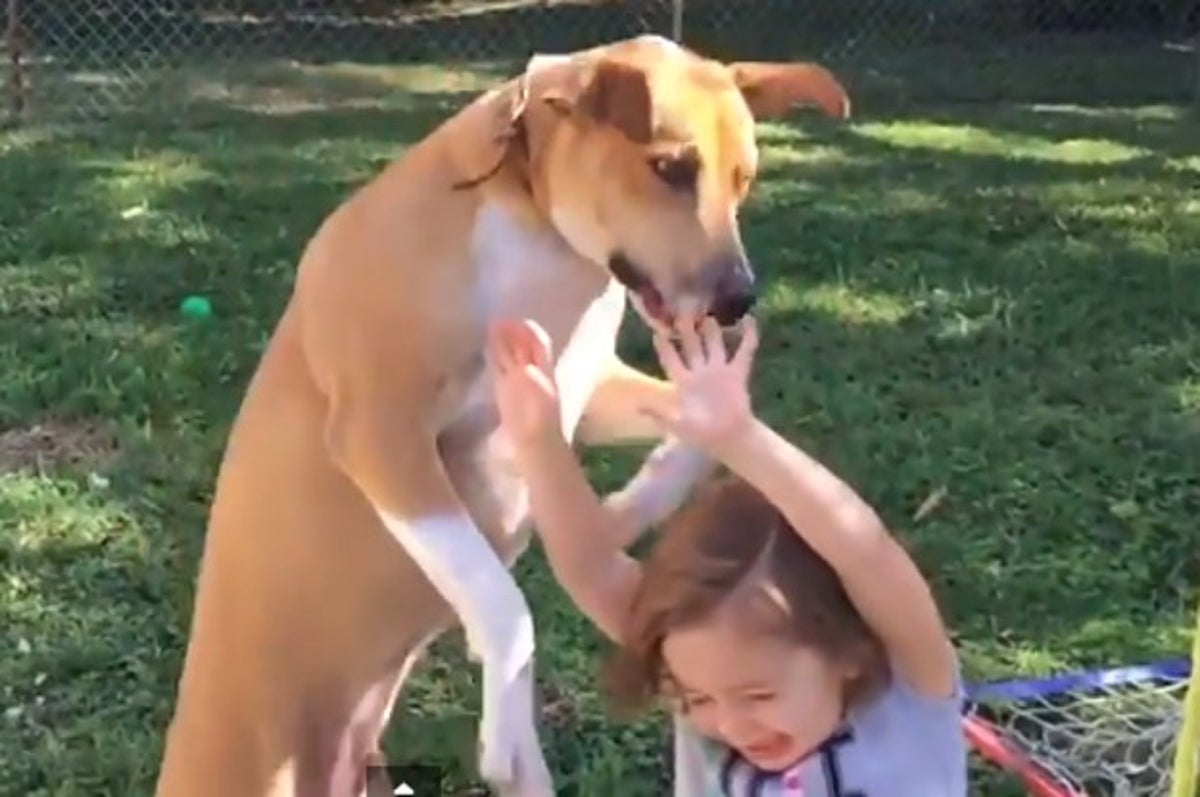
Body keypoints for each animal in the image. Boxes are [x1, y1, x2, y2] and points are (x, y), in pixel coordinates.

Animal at [154, 32, 849, 797]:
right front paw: (506, 726)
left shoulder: (584, 390)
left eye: (744, 179)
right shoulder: (381, 433)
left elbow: (696, 435)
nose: (738, 299)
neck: (536, 226)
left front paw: (620, 511)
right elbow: (501, 600)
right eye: (670, 167)